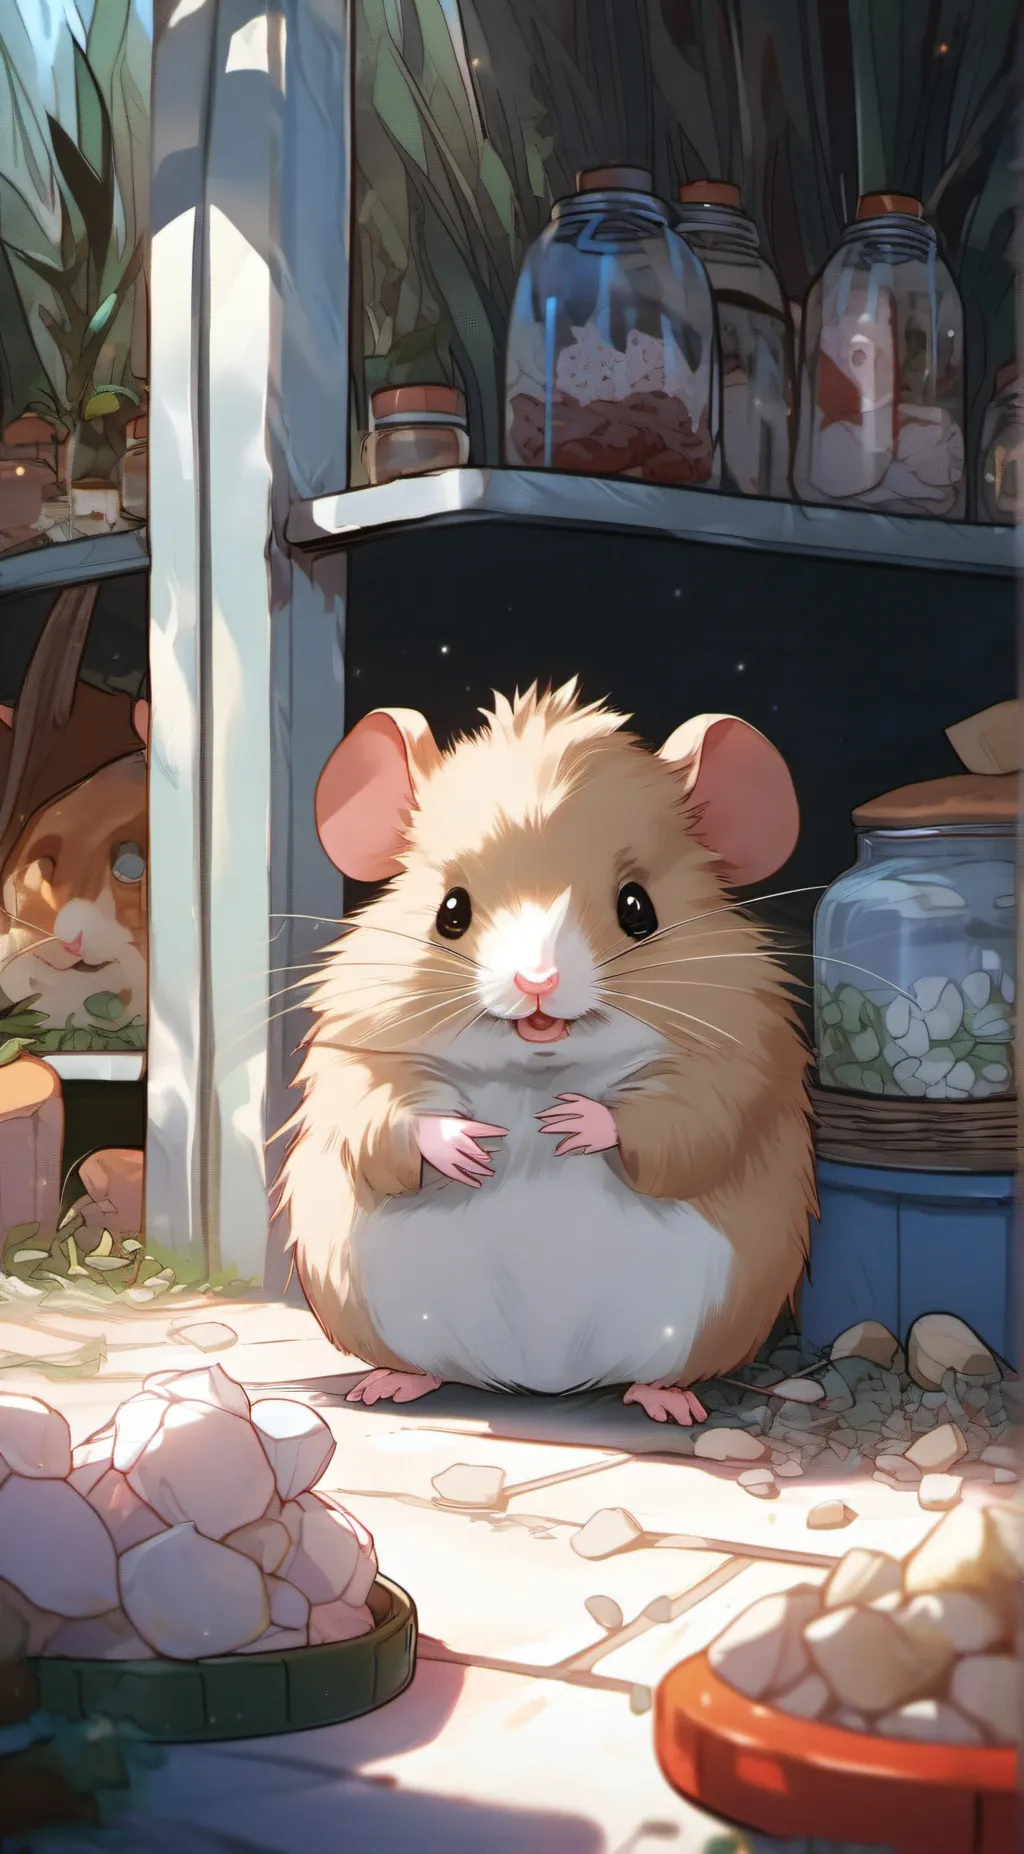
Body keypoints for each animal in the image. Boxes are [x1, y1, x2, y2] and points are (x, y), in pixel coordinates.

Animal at [275, 679, 816, 1426]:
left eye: (638, 909)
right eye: (451, 911)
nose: (538, 982)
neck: (534, 1068)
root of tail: (542, 1383)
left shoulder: (737, 1057)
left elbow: (687, 1120)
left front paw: (574, 1121)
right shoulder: (354, 1052)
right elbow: (379, 1117)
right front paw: (467, 1145)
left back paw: (670, 1402)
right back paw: (388, 1384)